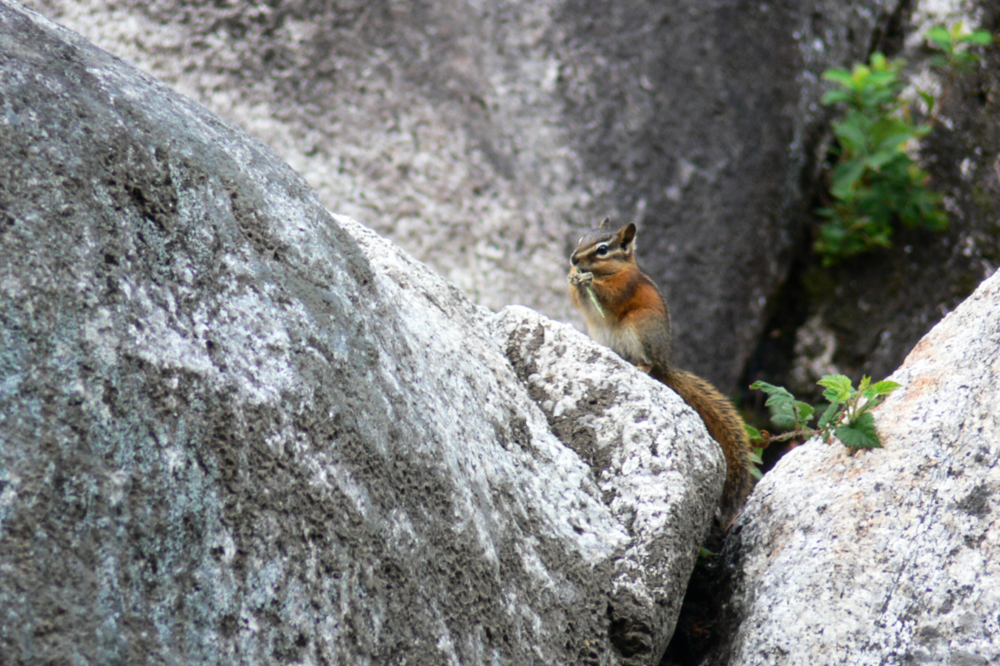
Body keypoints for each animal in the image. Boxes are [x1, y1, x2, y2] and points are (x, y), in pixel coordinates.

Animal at [568, 218, 753, 520]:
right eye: (581, 238)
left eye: (603, 250)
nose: (573, 258)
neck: (614, 269)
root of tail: (666, 361)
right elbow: (576, 297)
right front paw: (574, 278)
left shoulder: (624, 285)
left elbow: (609, 295)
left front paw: (588, 280)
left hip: (639, 327)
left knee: (650, 363)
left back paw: (642, 367)